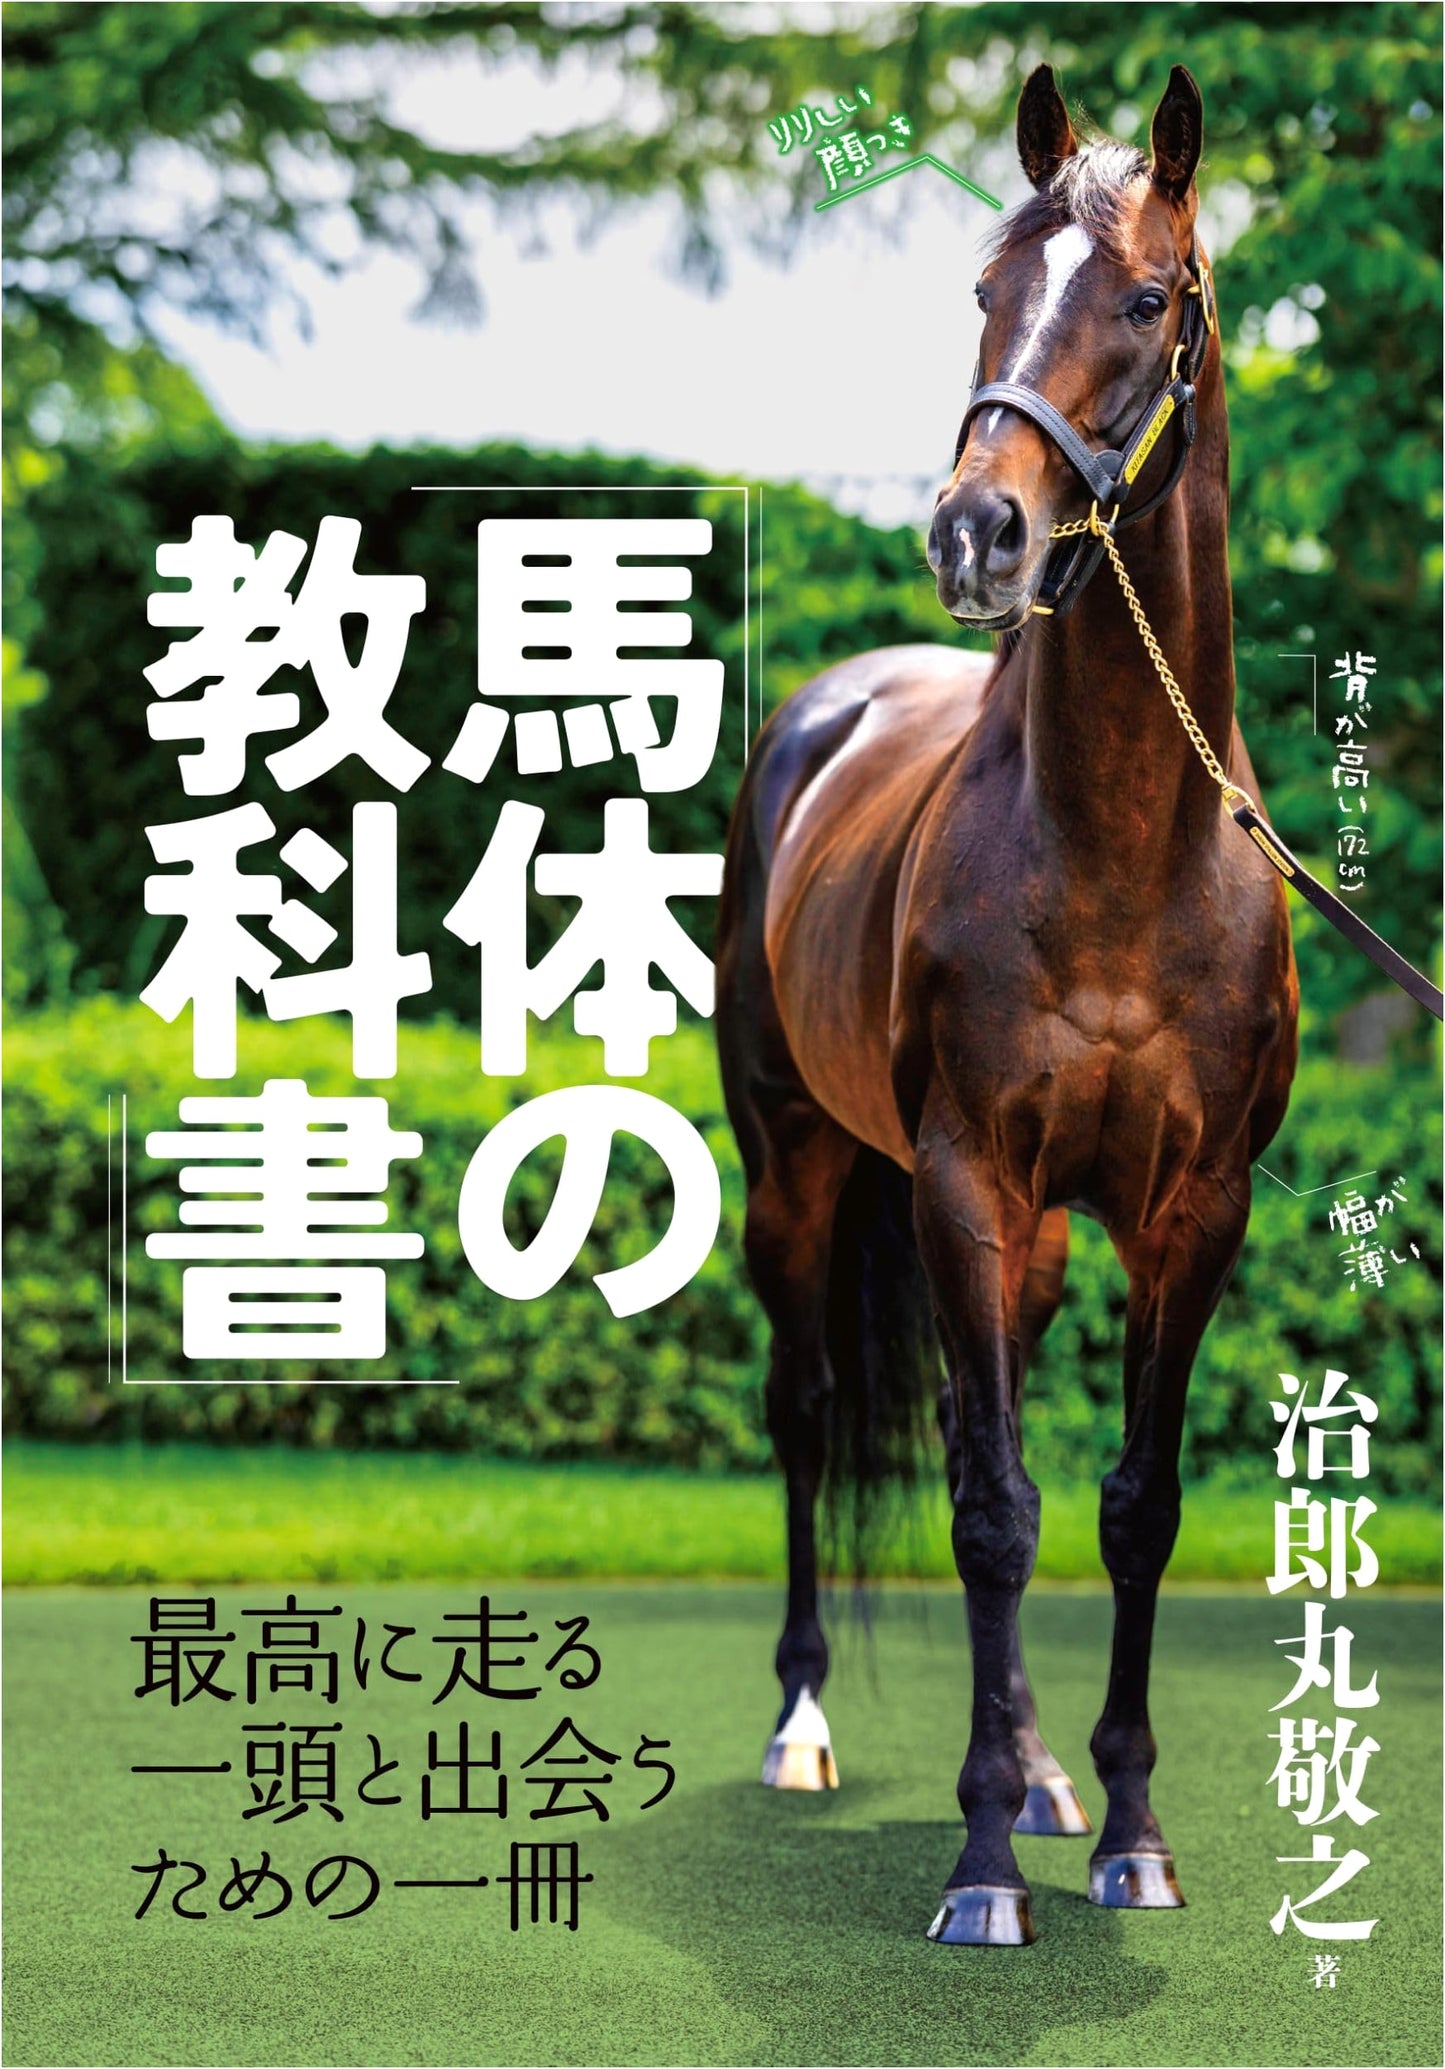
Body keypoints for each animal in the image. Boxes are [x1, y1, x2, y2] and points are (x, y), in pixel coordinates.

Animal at [715, 63, 1299, 1947]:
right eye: (982, 289)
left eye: (1149, 298)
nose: (978, 532)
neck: (1119, 844)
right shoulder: (962, 1182)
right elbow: (987, 1509)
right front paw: (980, 1867)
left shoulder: (1190, 1213)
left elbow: (1129, 1505)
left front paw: (1124, 1828)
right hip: (800, 1171)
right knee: (812, 1409)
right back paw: (806, 1729)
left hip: (1032, 1238)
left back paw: (1043, 1770)